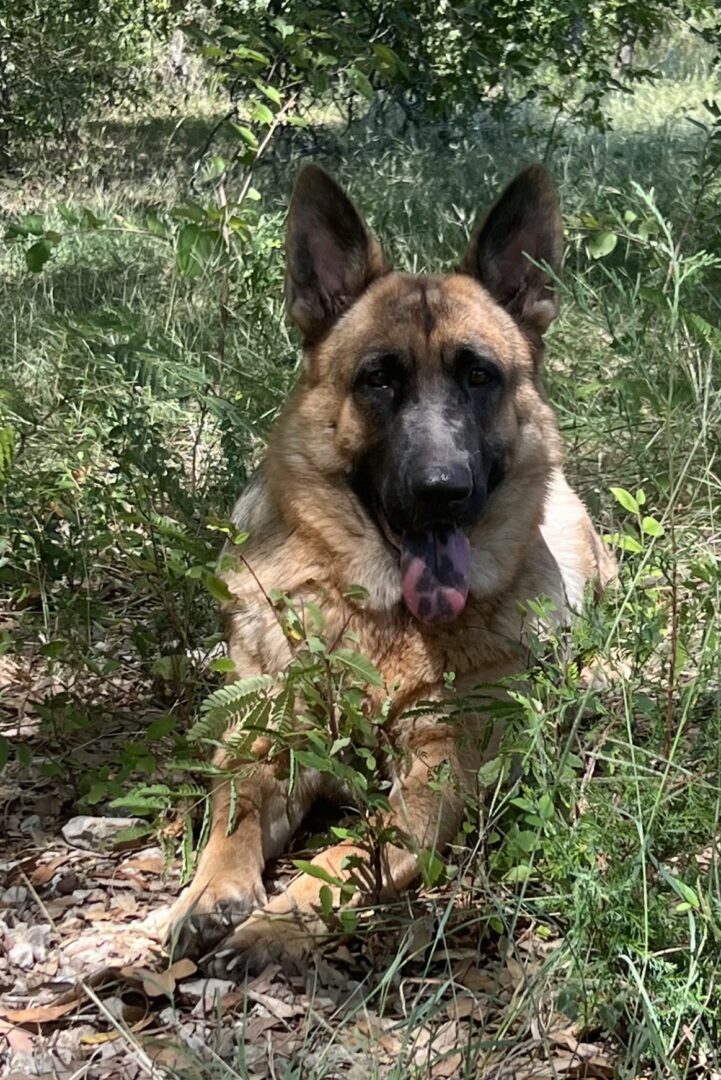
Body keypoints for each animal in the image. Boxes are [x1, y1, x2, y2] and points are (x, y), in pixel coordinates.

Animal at [167, 164, 613, 976]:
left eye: (479, 377)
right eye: (378, 379)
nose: (442, 491)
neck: (380, 620)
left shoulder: (439, 775)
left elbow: (346, 857)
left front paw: (278, 923)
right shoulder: (269, 737)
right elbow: (233, 809)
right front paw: (207, 894)